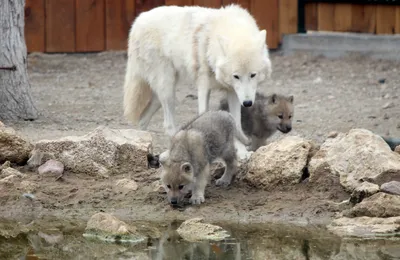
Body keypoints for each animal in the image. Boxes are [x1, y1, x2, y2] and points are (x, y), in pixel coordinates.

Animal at [122, 3, 272, 142]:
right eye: (236, 76)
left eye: (253, 75)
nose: (247, 103)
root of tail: (137, 22)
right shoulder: (203, 85)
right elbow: (204, 113)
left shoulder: (232, 91)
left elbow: (236, 122)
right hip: (167, 89)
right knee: (168, 126)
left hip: (161, 94)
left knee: (142, 119)